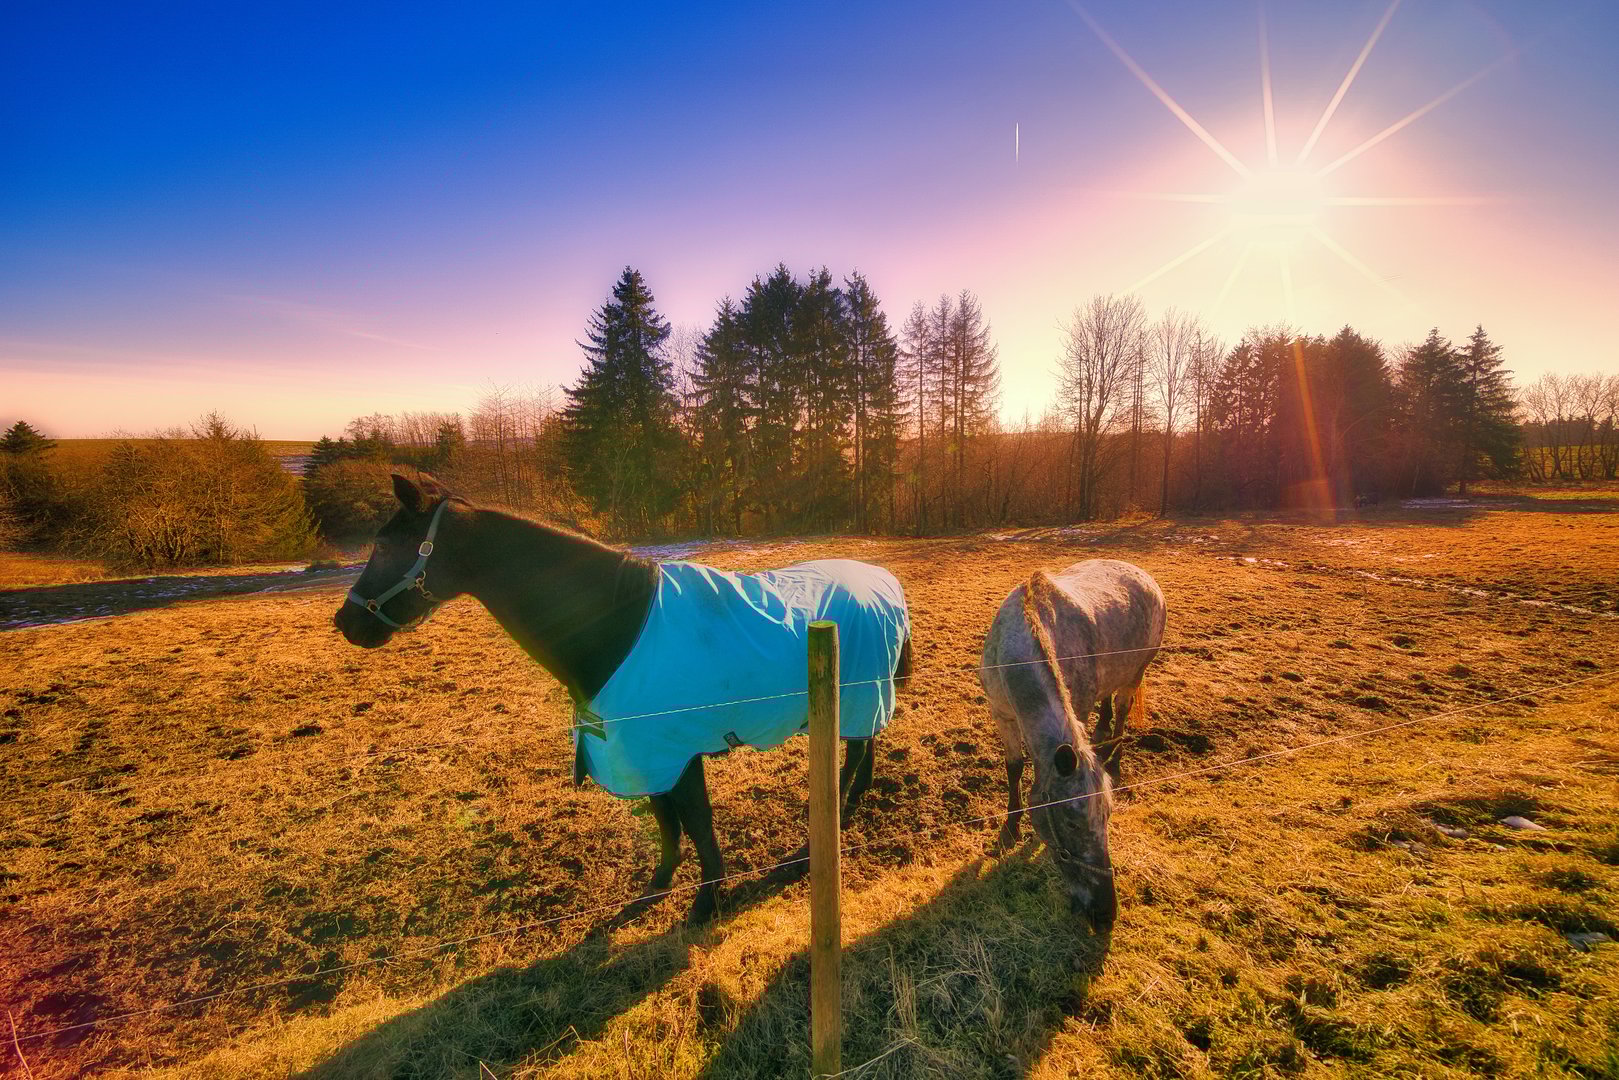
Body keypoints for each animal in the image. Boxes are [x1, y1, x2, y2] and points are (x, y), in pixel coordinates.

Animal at [333, 472, 912, 925]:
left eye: (384, 546)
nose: (346, 622)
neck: (618, 624)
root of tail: (884, 578)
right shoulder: (644, 752)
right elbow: (666, 823)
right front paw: (657, 887)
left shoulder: (676, 751)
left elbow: (697, 824)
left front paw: (707, 903)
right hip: (857, 700)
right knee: (865, 745)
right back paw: (851, 806)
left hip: (854, 697)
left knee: (852, 754)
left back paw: (820, 837)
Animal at [978, 559, 1165, 928]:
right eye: (1071, 822)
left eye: (1107, 817)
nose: (1104, 913)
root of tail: (1144, 574)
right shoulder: (1002, 716)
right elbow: (1014, 768)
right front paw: (1009, 830)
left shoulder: (1076, 708)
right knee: (1109, 702)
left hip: (1136, 671)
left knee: (1122, 709)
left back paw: (1114, 759)